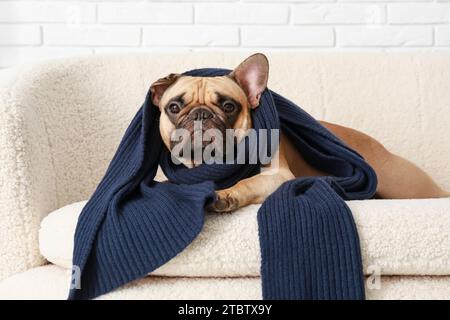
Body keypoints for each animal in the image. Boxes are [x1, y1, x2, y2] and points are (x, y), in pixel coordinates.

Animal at [149, 52, 448, 212]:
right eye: (174, 107)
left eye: (228, 106)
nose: (201, 114)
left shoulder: (276, 175)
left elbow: (247, 182)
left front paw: (226, 194)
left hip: (403, 185)